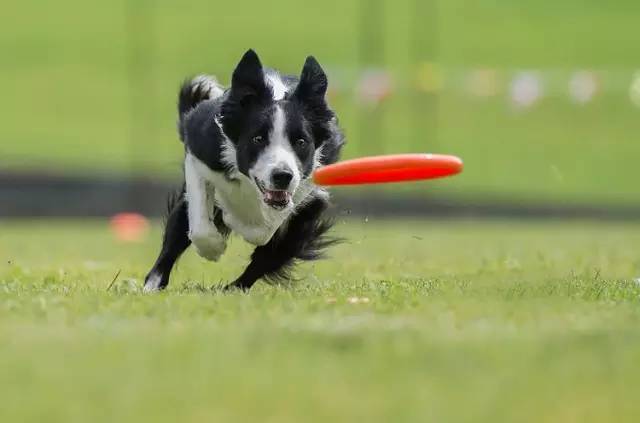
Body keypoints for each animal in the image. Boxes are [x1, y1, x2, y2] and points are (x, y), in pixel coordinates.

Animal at [144, 49, 344, 294]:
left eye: (301, 142)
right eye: (257, 138)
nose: (282, 176)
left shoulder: (309, 193)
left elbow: (265, 232)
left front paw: (236, 219)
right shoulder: (199, 152)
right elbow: (200, 223)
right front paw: (213, 247)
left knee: (268, 257)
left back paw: (232, 288)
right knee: (175, 238)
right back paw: (152, 285)